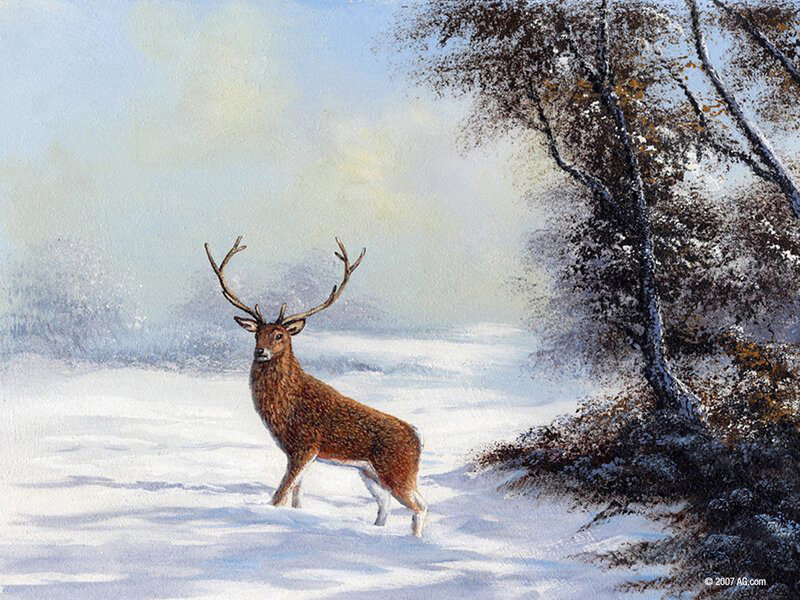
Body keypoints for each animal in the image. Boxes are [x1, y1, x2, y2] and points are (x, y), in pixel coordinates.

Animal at [204, 236, 428, 537]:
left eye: (279, 335)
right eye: (256, 334)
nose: (260, 352)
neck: (287, 406)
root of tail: (418, 438)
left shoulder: (305, 446)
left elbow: (280, 496)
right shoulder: (299, 453)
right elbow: (296, 496)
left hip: (397, 471)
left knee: (420, 506)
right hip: (369, 473)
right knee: (386, 505)